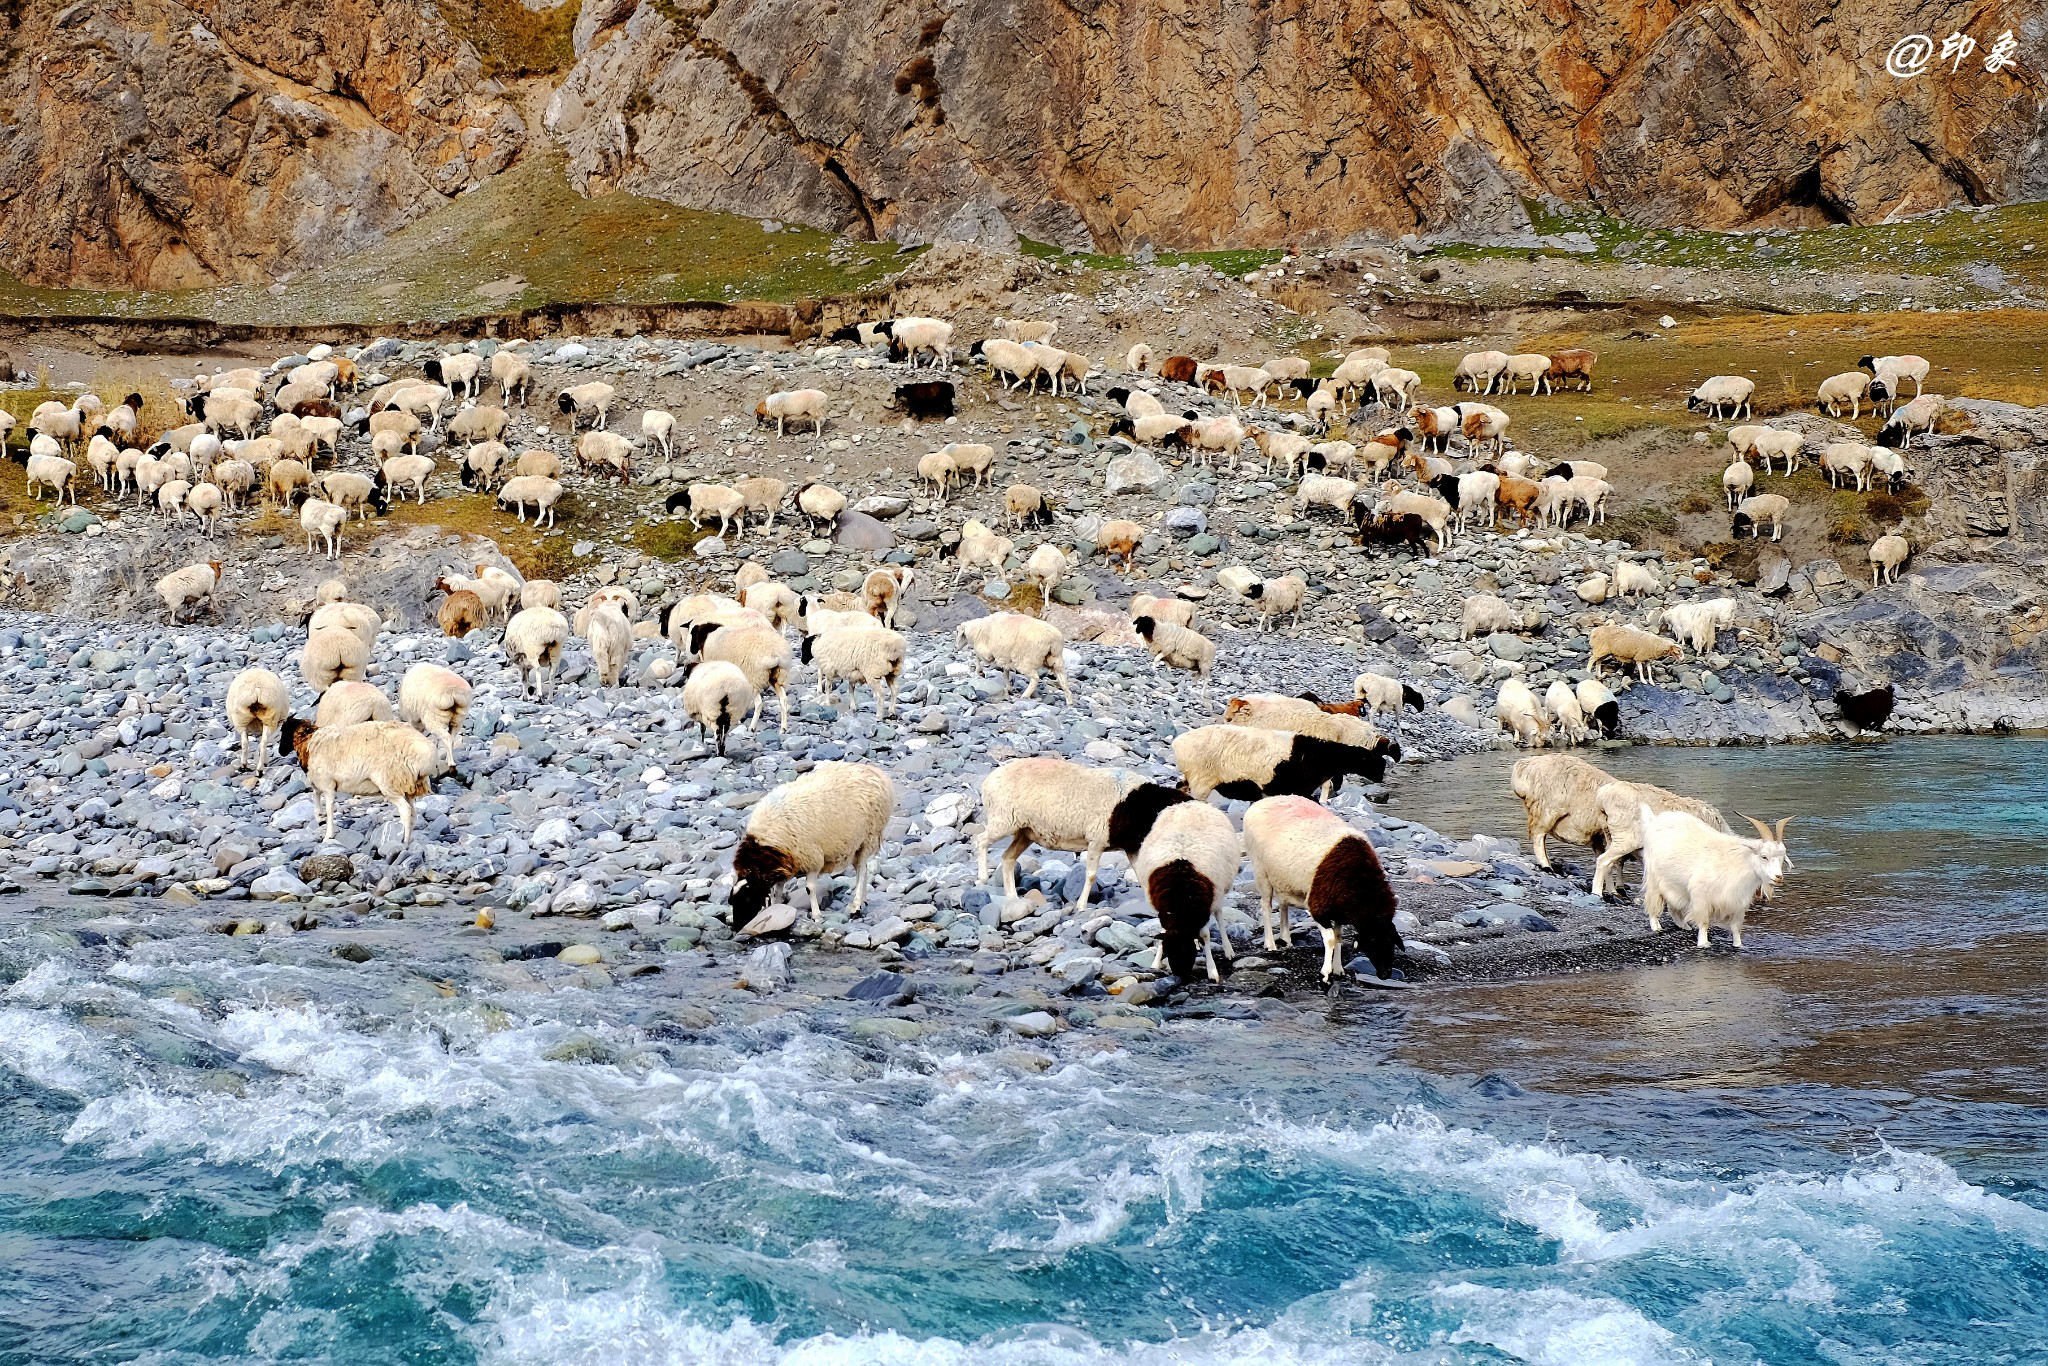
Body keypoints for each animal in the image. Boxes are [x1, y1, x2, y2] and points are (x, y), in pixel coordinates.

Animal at [733, 757, 901, 929]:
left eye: (747, 898)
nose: (736, 927)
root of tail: (875, 772)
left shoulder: (812, 858)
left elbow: (809, 888)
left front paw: (817, 916)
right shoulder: (787, 863)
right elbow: (777, 891)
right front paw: (775, 909)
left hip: (868, 837)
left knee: (861, 870)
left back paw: (856, 905)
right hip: (855, 843)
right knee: (863, 869)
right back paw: (863, 901)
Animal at [1130, 802, 1236, 983]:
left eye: (1187, 952)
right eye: (1169, 951)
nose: (1181, 976)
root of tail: (1191, 803)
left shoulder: (1205, 905)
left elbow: (1205, 935)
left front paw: (1212, 970)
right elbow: (1163, 934)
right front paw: (1155, 963)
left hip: (1219, 892)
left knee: (1219, 916)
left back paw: (1228, 949)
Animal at [1236, 790, 1400, 983]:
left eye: (1392, 941)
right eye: (1373, 940)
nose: (1385, 974)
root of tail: (1264, 802)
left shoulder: (1338, 910)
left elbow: (1338, 937)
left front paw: (1338, 969)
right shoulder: (1318, 907)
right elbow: (1330, 939)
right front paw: (1325, 973)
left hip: (1282, 878)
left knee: (1283, 905)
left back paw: (1286, 938)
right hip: (1261, 871)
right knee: (1266, 907)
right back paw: (1270, 944)